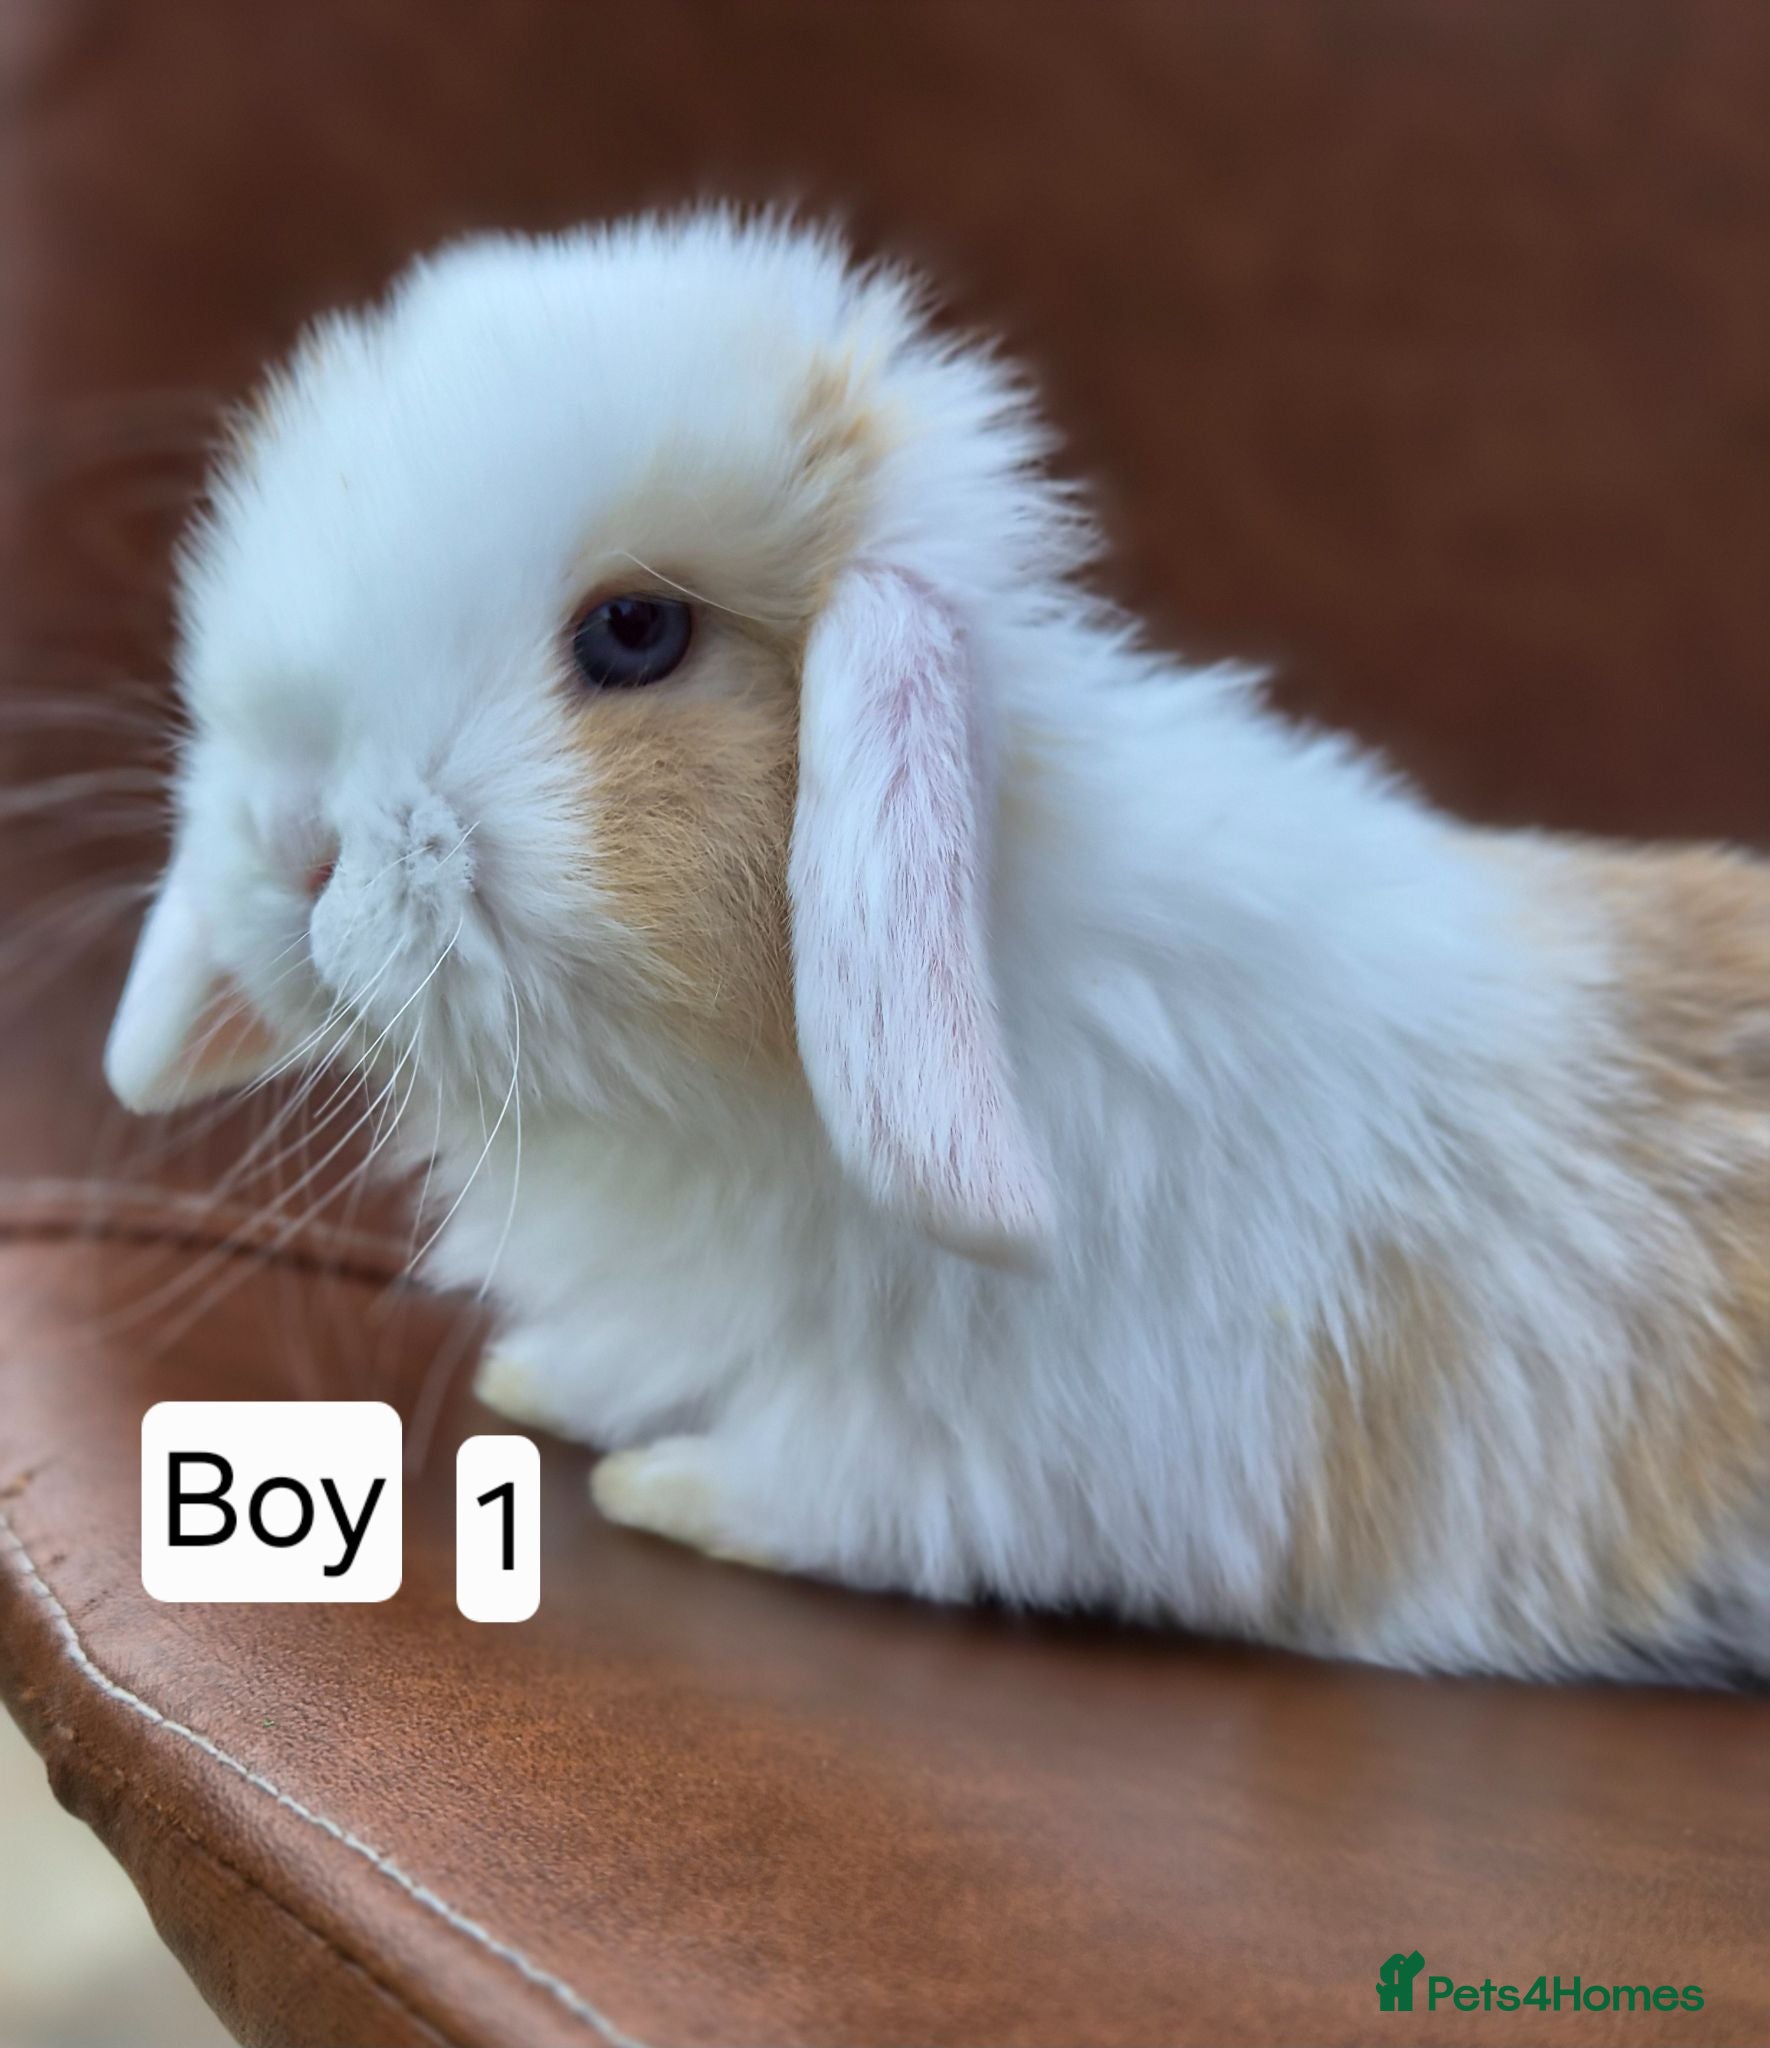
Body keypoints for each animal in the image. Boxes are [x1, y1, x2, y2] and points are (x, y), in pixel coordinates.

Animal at [103, 210, 1770, 1683]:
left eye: (635, 633)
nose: (293, 845)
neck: (731, 1112)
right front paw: (549, 1380)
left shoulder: (1066, 1460)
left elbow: (858, 1490)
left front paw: (665, 1490)